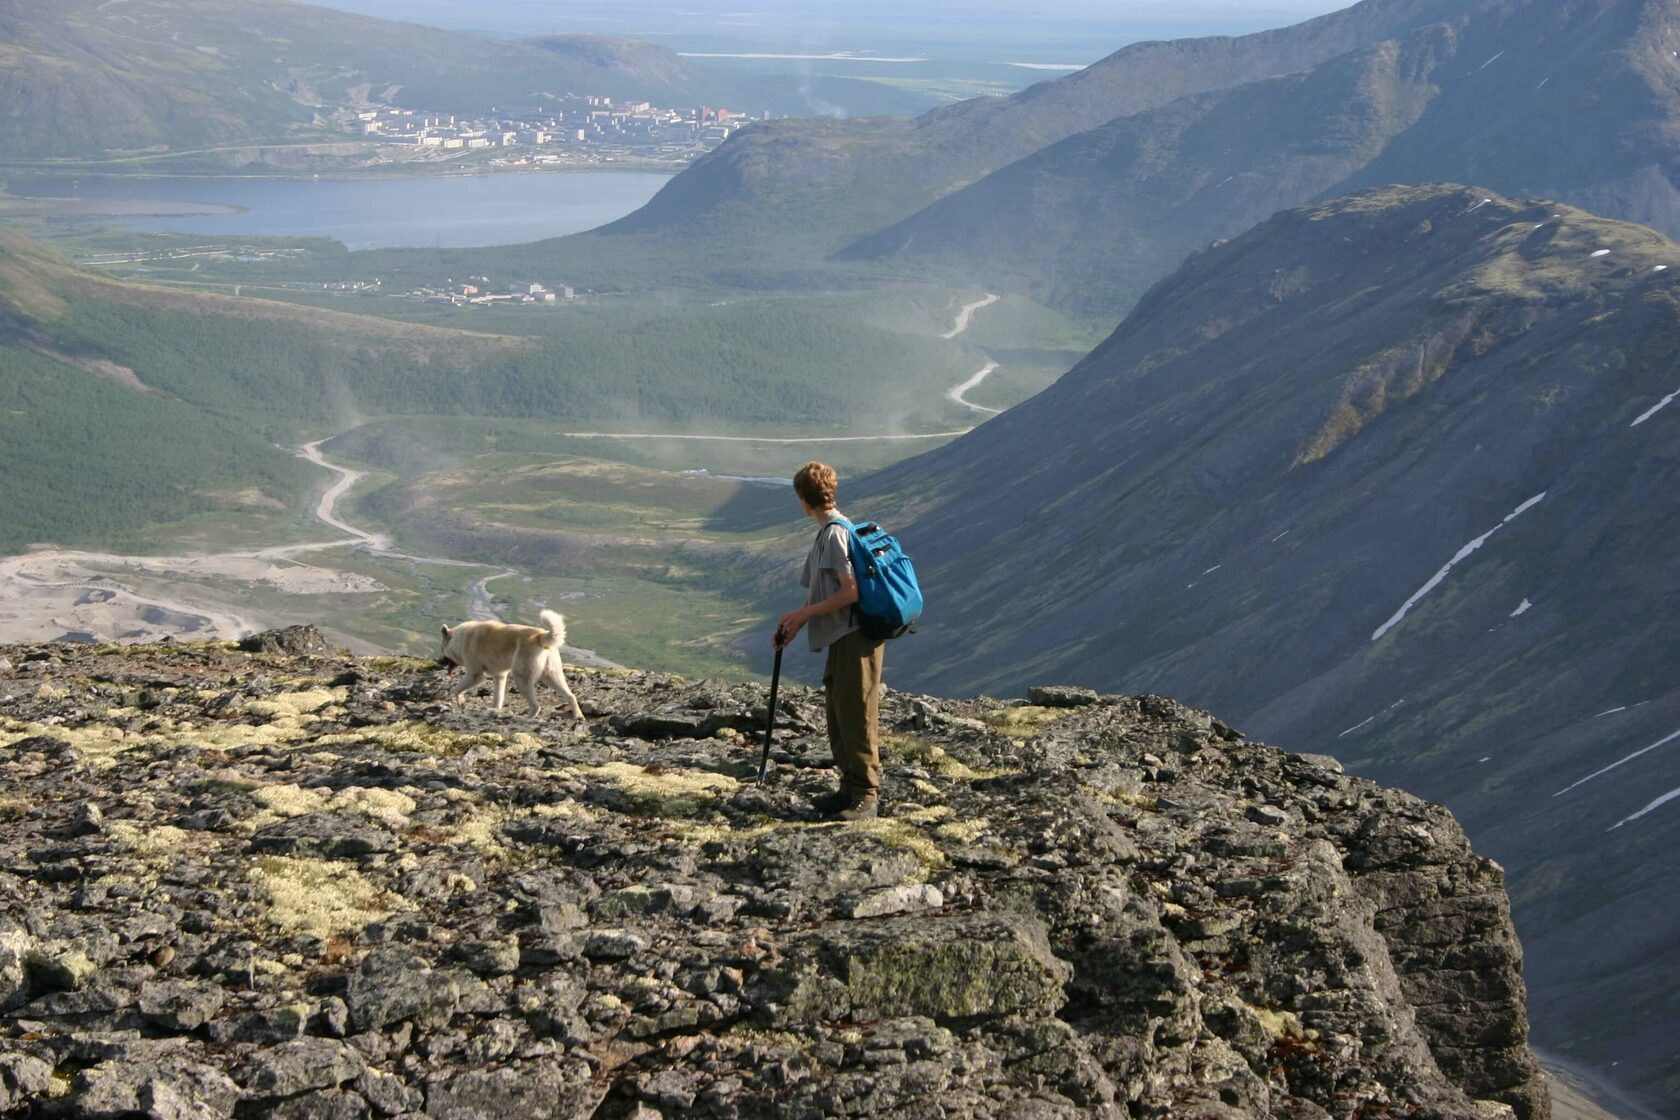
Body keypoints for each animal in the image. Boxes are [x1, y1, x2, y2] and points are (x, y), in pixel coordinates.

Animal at [440, 607, 584, 722]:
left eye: (442, 650)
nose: (439, 661)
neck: (459, 639)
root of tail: (541, 636)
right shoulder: (499, 676)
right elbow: (498, 696)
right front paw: (494, 710)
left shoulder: (475, 674)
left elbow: (456, 689)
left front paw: (461, 701)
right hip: (552, 675)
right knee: (570, 696)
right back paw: (579, 716)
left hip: (521, 676)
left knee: (535, 705)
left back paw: (526, 718)